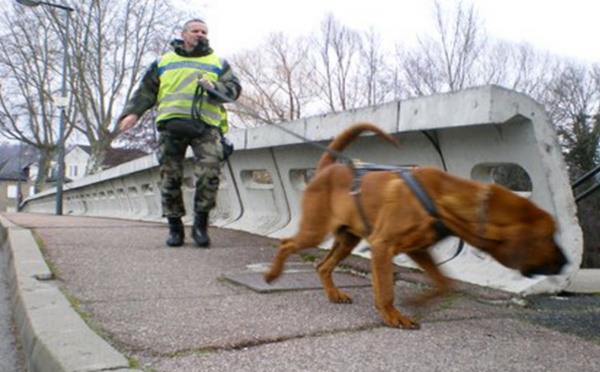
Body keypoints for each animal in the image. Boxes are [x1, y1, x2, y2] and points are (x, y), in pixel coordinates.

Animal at [264, 122, 568, 328]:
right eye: (548, 237)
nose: (565, 263)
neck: (441, 200)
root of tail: (328, 168)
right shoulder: (383, 246)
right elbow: (386, 291)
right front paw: (392, 316)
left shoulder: (418, 249)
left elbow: (443, 282)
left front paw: (418, 302)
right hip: (315, 231)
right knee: (287, 244)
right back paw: (272, 274)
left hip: (347, 239)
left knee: (322, 265)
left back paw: (333, 294)